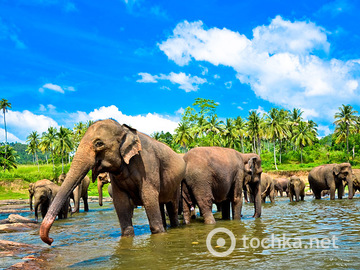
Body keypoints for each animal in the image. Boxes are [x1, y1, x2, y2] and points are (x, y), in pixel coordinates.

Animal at [39, 119, 186, 246]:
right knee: (160, 204)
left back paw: (174, 226)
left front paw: (159, 234)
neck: (124, 129)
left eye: (99, 143)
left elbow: (148, 197)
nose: (51, 240)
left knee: (172, 207)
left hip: (176, 184)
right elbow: (121, 202)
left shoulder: (148, 165)